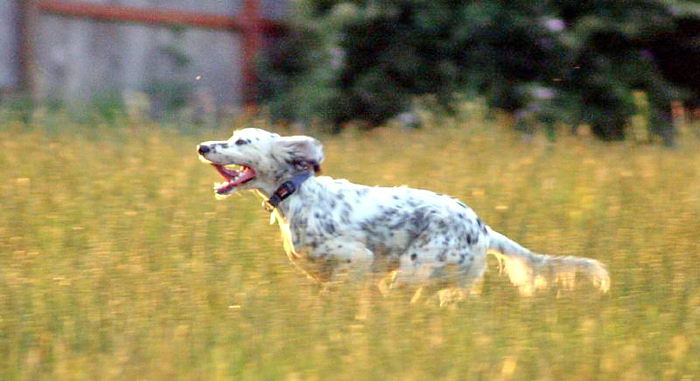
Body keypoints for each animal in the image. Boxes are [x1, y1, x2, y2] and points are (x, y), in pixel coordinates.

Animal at [197, 127, 608, 296]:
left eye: (241, 142)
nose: (202, 147)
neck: (296, 194)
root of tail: (483, 227)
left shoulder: (357, 261)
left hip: (412, 273)